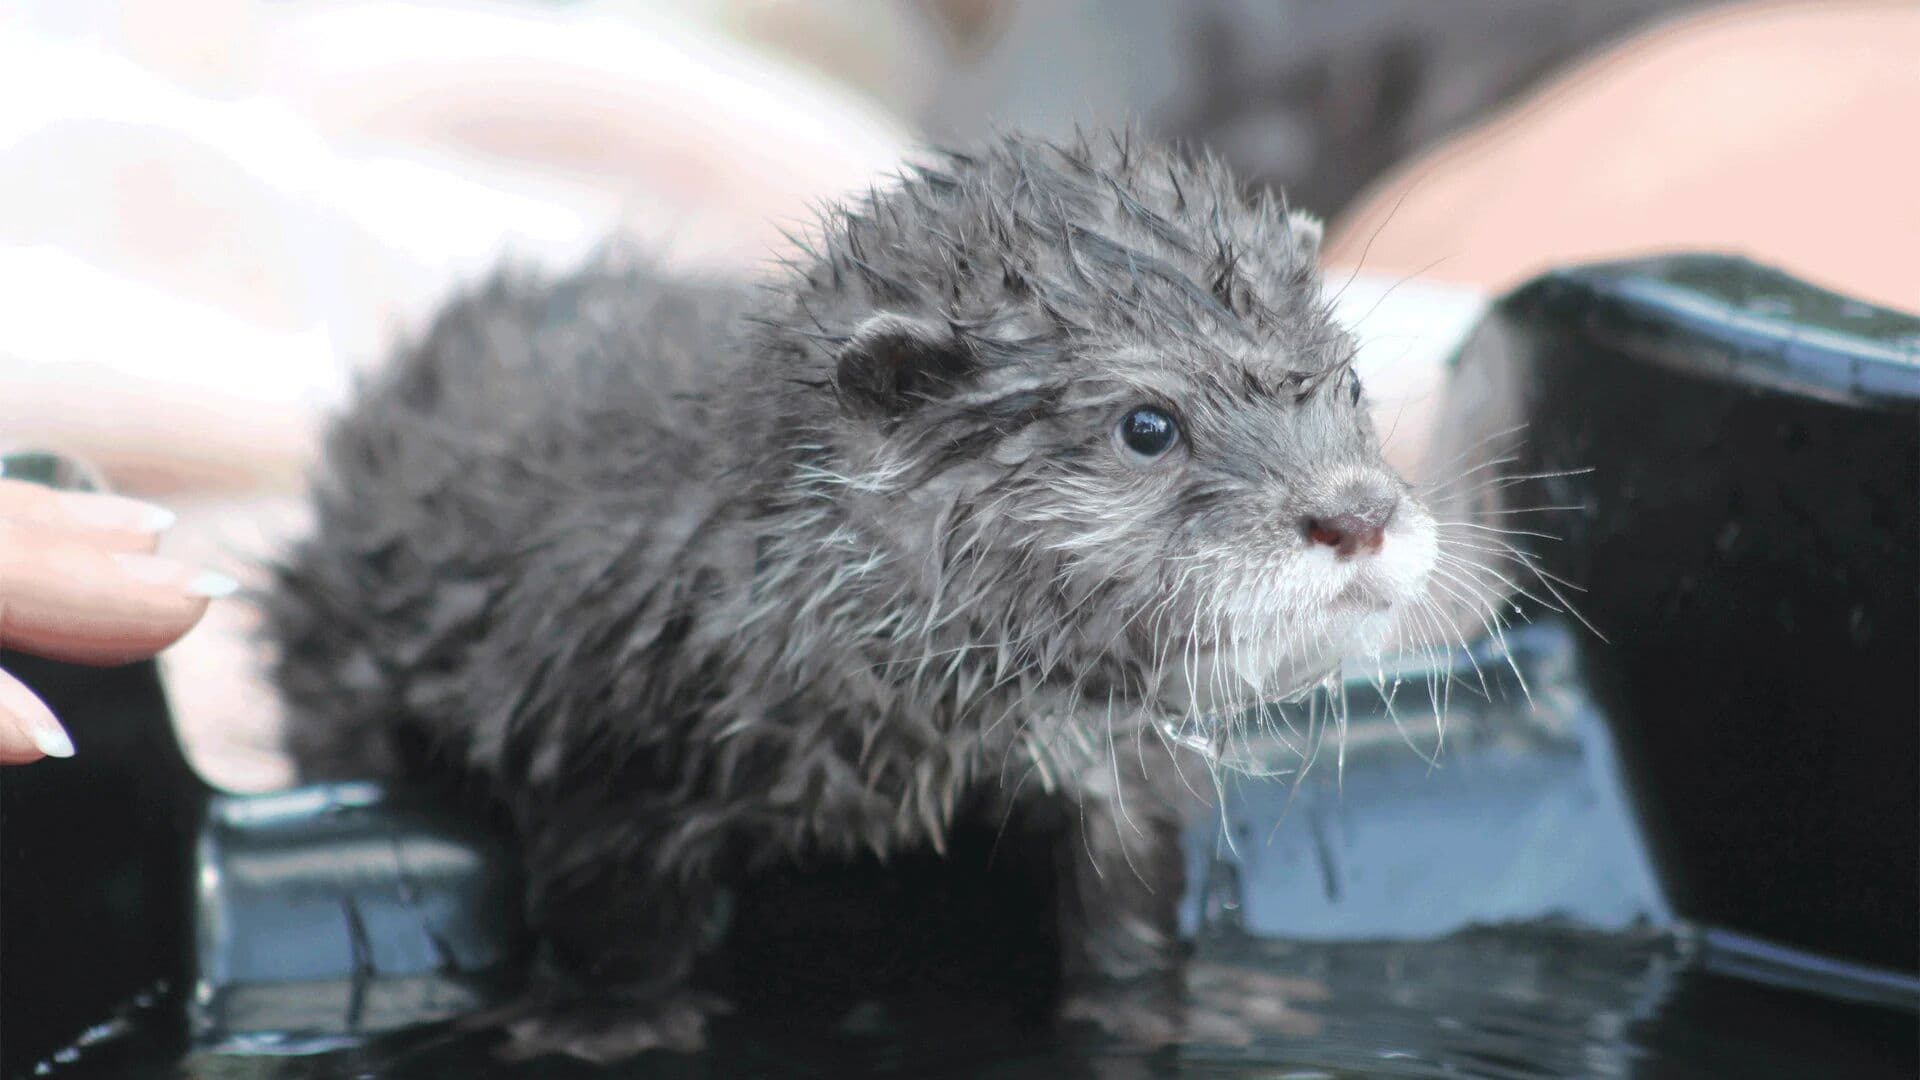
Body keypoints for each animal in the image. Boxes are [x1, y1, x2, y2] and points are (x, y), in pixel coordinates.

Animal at [266, 132, 1438, 1061]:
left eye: (1351, 382)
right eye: (1147, 424)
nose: (1354, 513)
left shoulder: (1112, 765)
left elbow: (1128, 901)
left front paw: (1161, 1010)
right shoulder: (603, 716)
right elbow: (612, 911)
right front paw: (608, 1027)